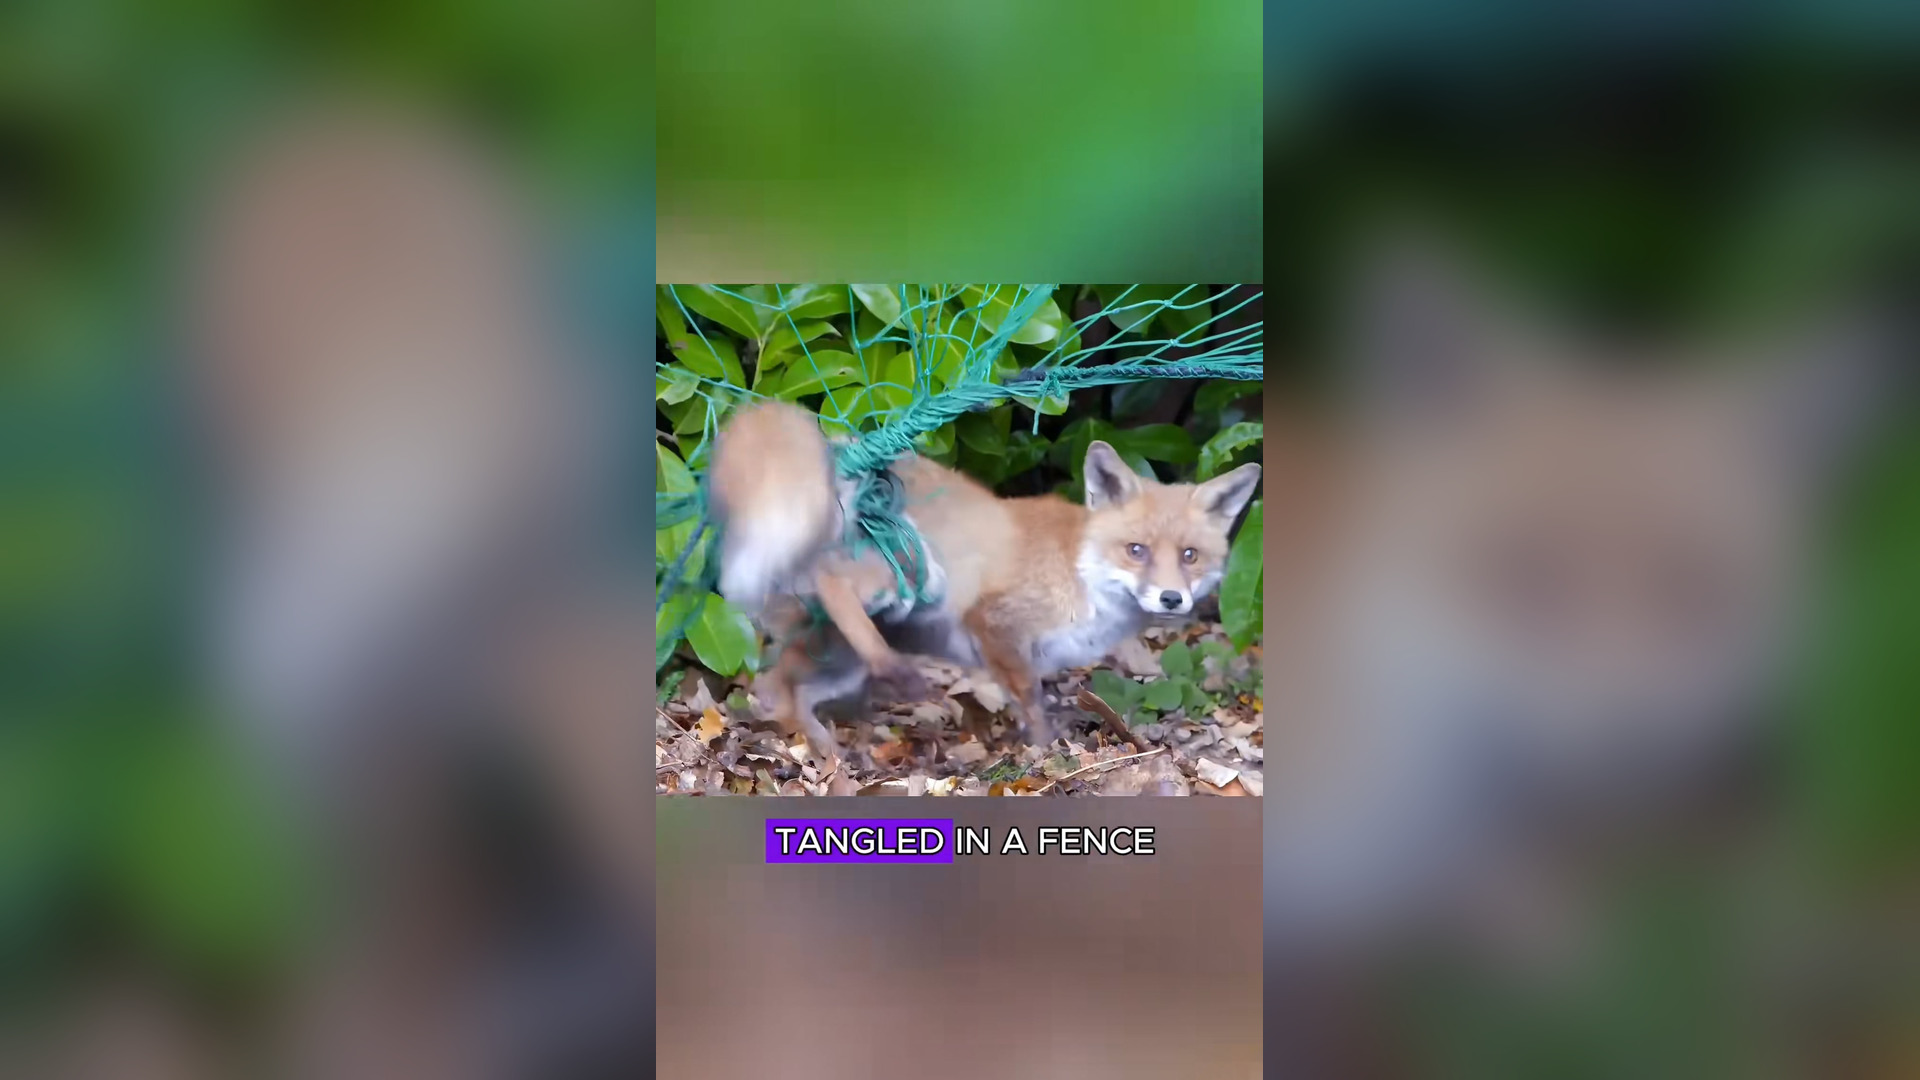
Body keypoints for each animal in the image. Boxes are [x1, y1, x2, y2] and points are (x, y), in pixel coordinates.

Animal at [706, 400, 1262, 769]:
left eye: (1190, 556)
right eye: (1137, 550)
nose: (1171, 598)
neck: (1080, 574)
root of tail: (844, 455)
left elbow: (1028, 698)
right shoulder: (995, 623)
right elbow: (1030, 699)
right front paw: (1045, 750)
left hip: (836, 657)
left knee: (775, 689)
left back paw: (824, 745)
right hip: (903, 576)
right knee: (832, 589)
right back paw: (883, 680)